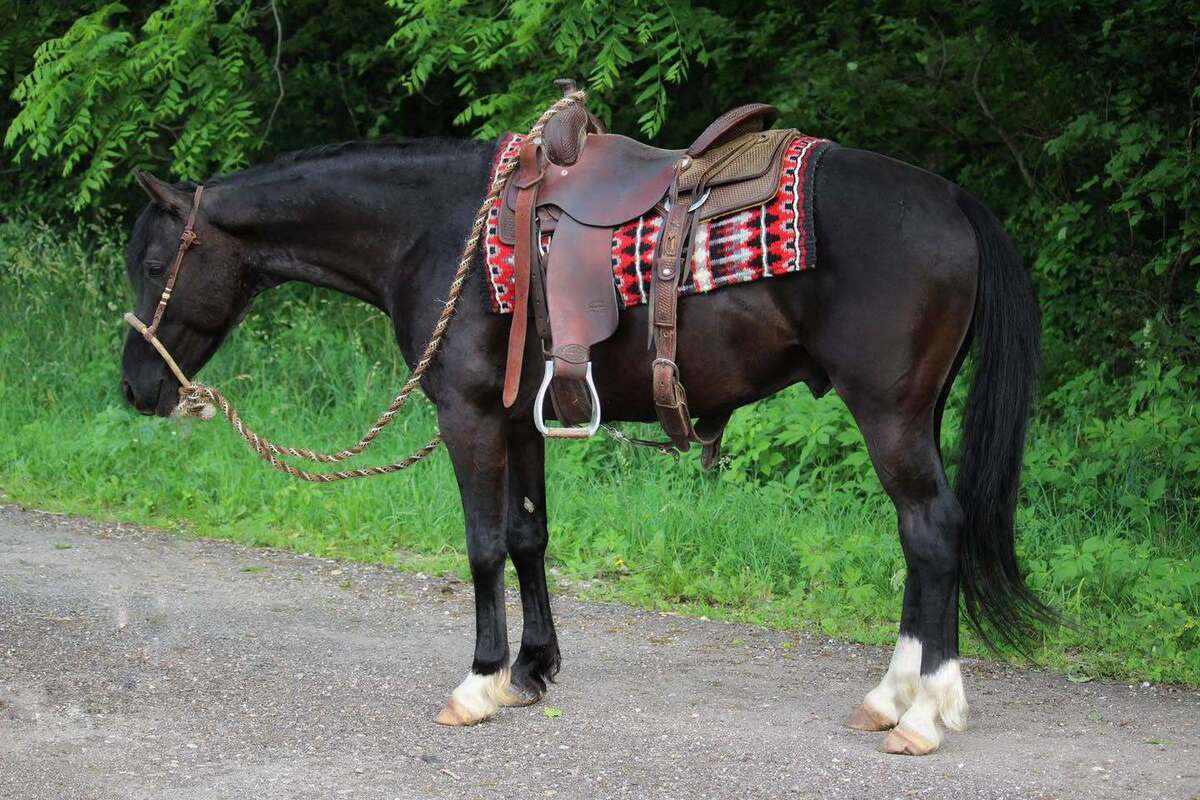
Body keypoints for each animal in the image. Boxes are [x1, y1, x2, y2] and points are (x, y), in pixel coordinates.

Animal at [120, 129, 1047, 756]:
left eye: (156, 261)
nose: (136, 389)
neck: (435, 230)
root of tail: (953, 199)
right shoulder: (518, 417)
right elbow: (528, 536)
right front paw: (532, 671)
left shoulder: (467, 415)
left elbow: (482, 545)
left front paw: (479, 682)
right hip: (916, 413)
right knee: (922, 537)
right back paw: (892, 696)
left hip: (889, 413)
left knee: (931, 531)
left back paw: (923, 712)